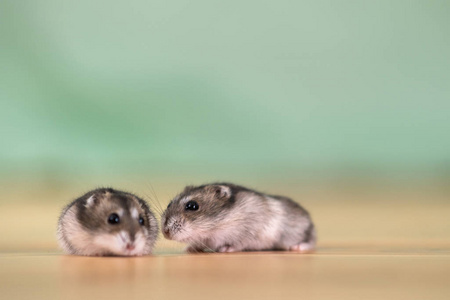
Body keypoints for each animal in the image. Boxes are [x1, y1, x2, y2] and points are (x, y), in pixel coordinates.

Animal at [162, 183, 316, 253]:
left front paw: (225, 249)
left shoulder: (250, 234)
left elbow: (237, 244)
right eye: (169, 203)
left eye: (192, 206)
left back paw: (297, 247)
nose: (165, 232)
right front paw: (189, 249)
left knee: (311, 241)